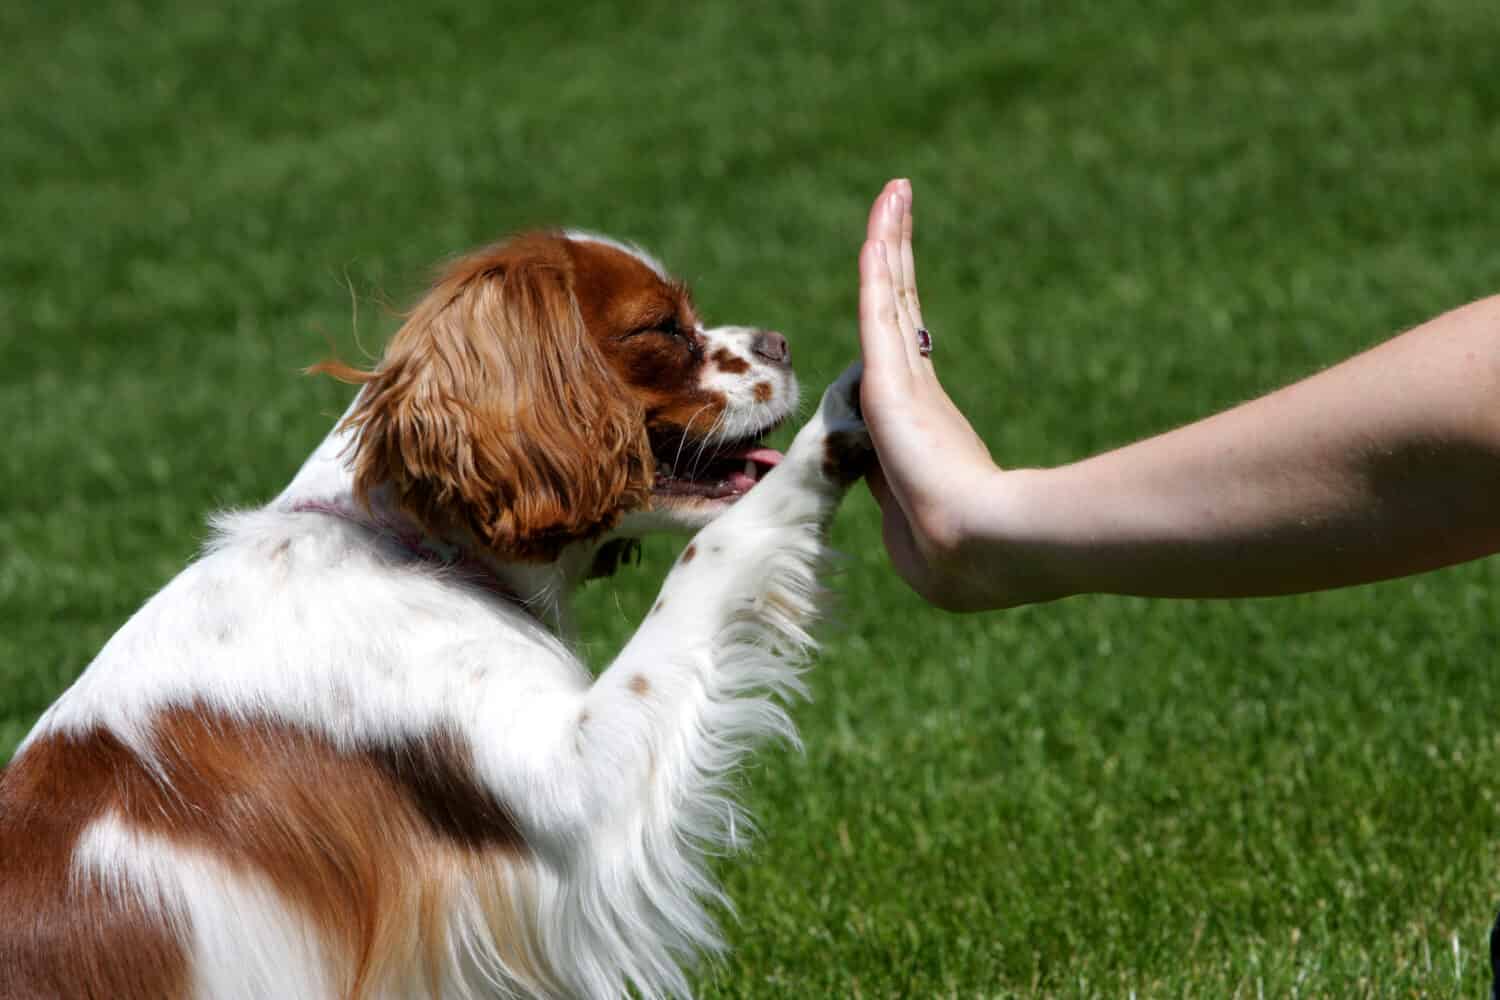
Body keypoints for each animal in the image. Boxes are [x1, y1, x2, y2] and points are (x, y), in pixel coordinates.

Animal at [0, 230, 870, 995]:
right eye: (662, 328)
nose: (781, 341)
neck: (406, 546)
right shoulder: (574, 784)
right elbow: (716, 550)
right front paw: (838, 424)